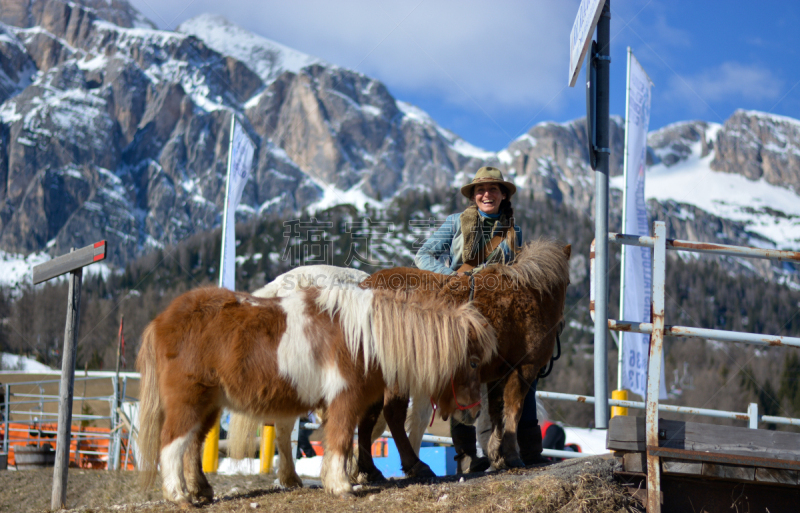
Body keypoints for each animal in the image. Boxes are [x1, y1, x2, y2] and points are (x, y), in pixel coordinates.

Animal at [136, 284, 494, 504]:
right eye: (474, 362)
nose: (474, 412)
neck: (364, 335)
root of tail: (162, 320)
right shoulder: (344, 400)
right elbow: (340, 439)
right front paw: (341, 486)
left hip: (209, 405)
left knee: (193, 446)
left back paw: (201, 491)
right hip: (187, 402)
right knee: (172, 443)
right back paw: (179, 496)